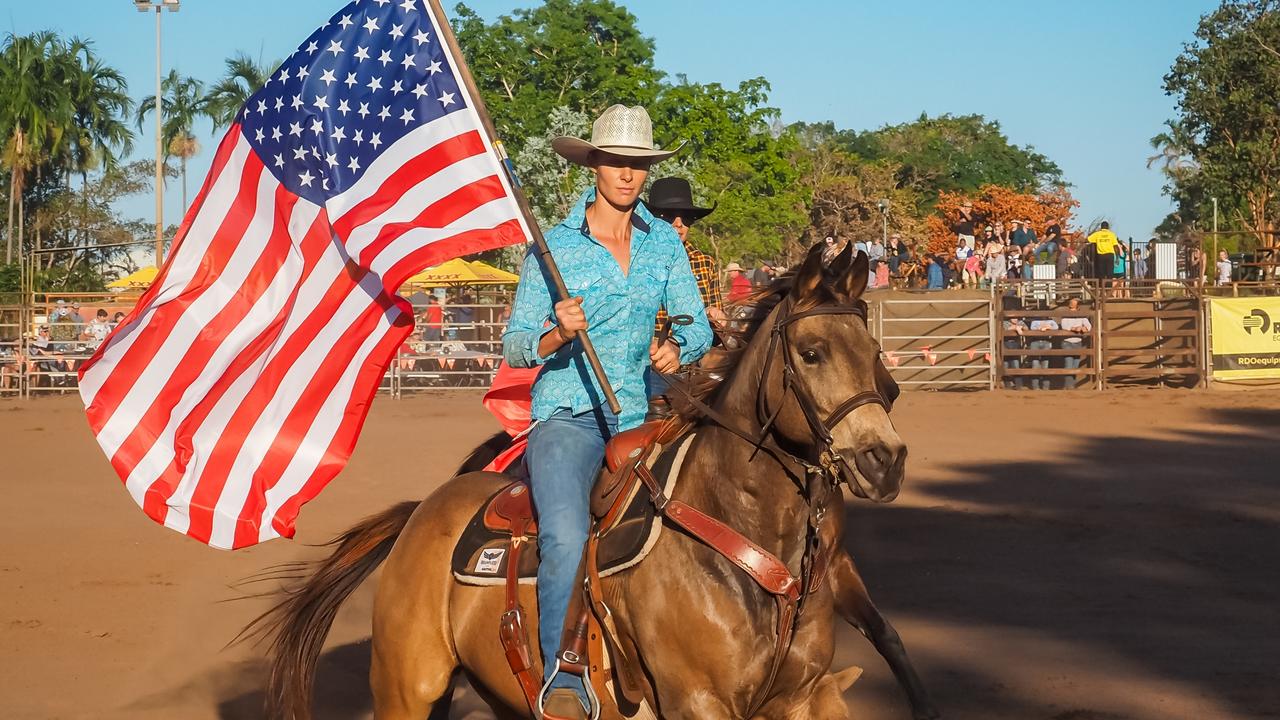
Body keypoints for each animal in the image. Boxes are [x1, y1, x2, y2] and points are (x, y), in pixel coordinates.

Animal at [244, 243, 916, 712]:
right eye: (812, 353)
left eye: (873, 352)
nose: (884, 460)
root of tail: (419, 514)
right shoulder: (698, 701)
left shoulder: (797, 699)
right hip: (406, 688)